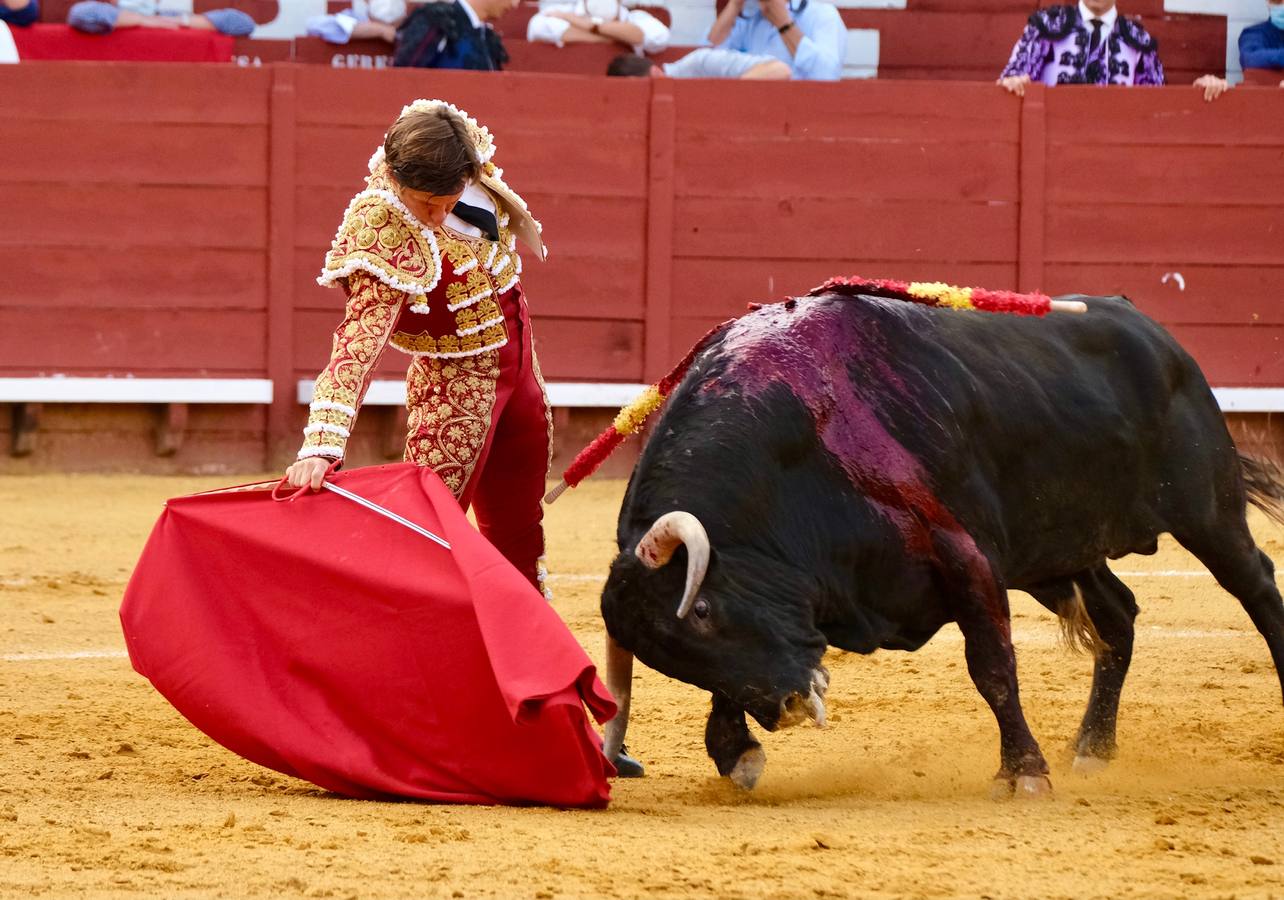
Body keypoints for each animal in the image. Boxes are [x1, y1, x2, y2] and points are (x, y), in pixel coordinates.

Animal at [598, 287, 1284, 790]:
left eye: (703, 610)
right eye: (669, 656)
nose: (787, 708)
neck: (797, 448)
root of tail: (1149, 328)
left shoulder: (963, 555)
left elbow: (991, 665)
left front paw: (1023, 774)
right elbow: (730, 683)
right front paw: (736, 751)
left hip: (1209, 512)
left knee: (1257, 588)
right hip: (1056, 553)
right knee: (1118, 617)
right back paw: (1092, 747)